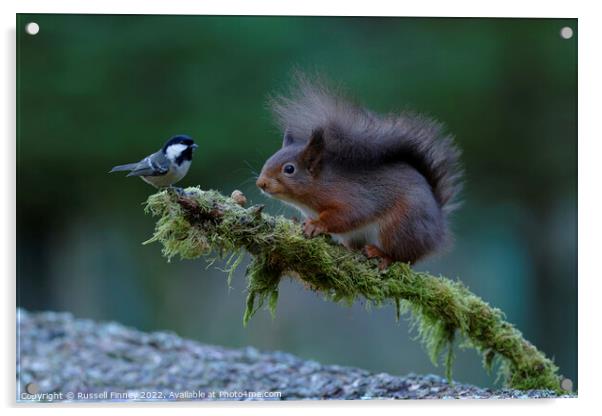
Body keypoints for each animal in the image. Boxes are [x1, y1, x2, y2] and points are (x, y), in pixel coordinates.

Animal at [253, 77, 460, 268]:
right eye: (270, 158)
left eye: (289, 169)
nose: (261, 183)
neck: (319, 184)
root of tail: (438, 230)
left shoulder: (351, 198)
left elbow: (348, 215)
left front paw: (316, 225)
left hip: (400, 227)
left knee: (403, 257)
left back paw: (381, 255)